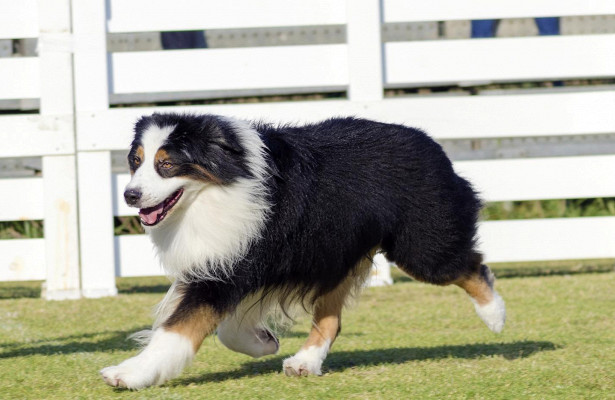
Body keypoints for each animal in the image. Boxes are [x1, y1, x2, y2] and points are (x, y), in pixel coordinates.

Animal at [100, 111, 506, 388]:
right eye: (135, 161)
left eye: (166, 164)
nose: (130, 195)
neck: (218, 187)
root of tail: (430, 142)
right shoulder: (221, 262)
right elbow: (222, 328)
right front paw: (264, 342)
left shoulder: (234, 265)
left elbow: (178, 328)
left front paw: (129, 373)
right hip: (337, 253)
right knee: (331, 319)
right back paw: (305, 362)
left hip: (420, 247)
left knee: (470, 265)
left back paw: (495, 315)